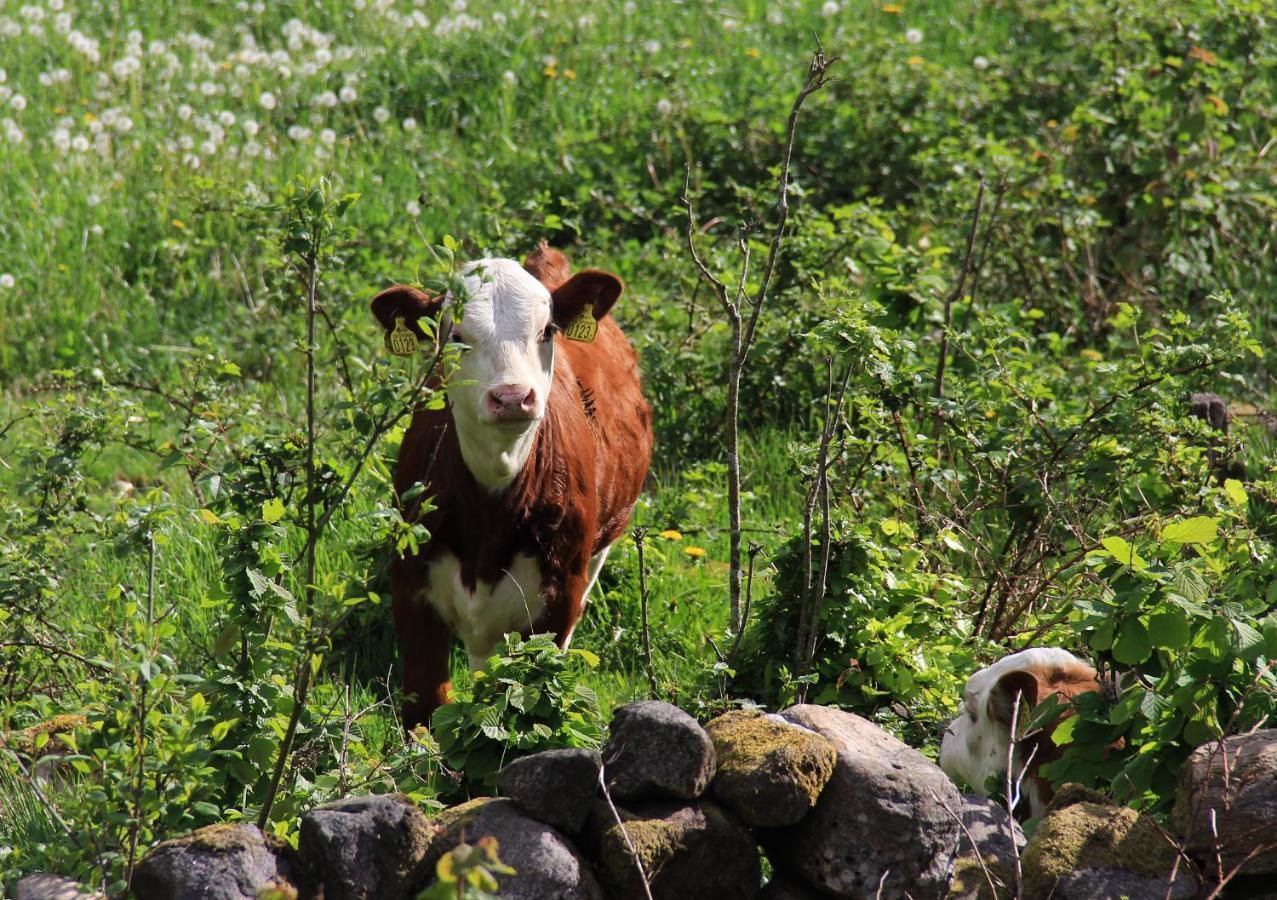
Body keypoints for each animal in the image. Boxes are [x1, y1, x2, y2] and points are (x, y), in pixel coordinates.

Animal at [367, 242, 648, 725]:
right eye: (455, 335)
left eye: (547, 330)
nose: (513, 397)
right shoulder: (411, 590)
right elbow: (425, 709)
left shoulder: (558, 599)